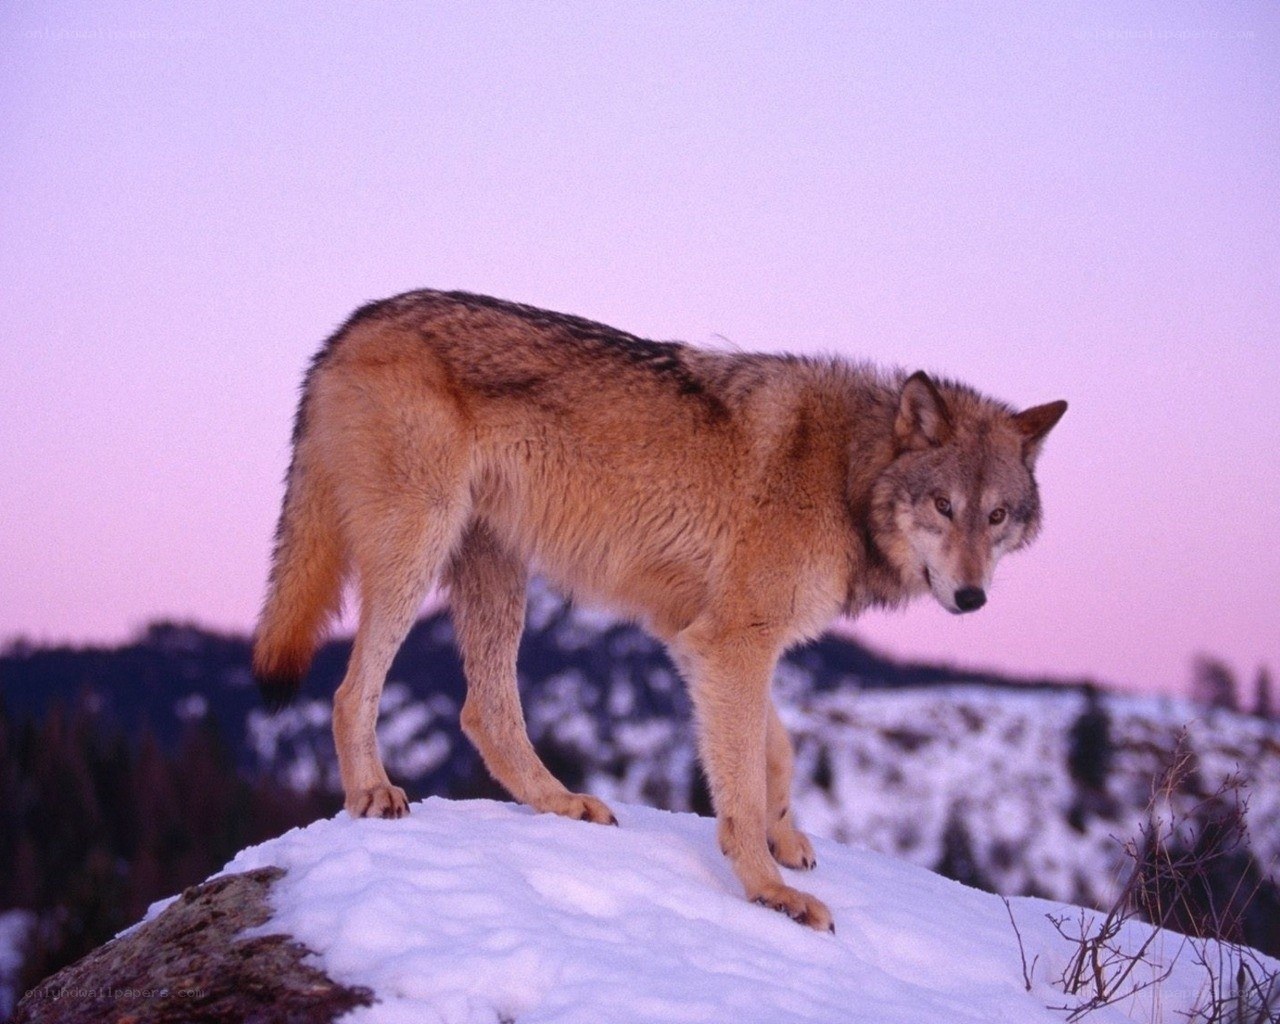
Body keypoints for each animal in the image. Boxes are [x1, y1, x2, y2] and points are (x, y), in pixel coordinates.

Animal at [252, 289, 1066, 932]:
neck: (846, 473)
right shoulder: (733, 643)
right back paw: (372, 794)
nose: (971, 597)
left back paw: (562, 804)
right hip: (417, 551)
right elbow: (742, 781)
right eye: (943, 506)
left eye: (996, 516)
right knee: (350, 691)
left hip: (496, 571)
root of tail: (354, 323)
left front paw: (786, 841)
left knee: (484, 712)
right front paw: (768, 891)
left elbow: (776, 749)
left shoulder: (703, 639)